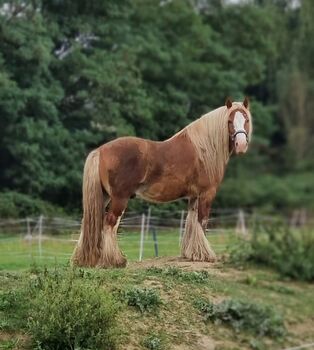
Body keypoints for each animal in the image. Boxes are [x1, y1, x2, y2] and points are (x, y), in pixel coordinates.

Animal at [72, 98, 253, 268]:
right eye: (229, 121)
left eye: (246, 119)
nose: (241, 144)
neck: (204, 148)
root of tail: (100, 150)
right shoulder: (207, 193)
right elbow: (202, 221)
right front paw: (205, 255)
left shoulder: (194, 196)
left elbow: (191, 222)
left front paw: (192, 254)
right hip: (119, 198)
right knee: (109, 223)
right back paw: (115, 261)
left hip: (104, 197)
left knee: (90, 221)